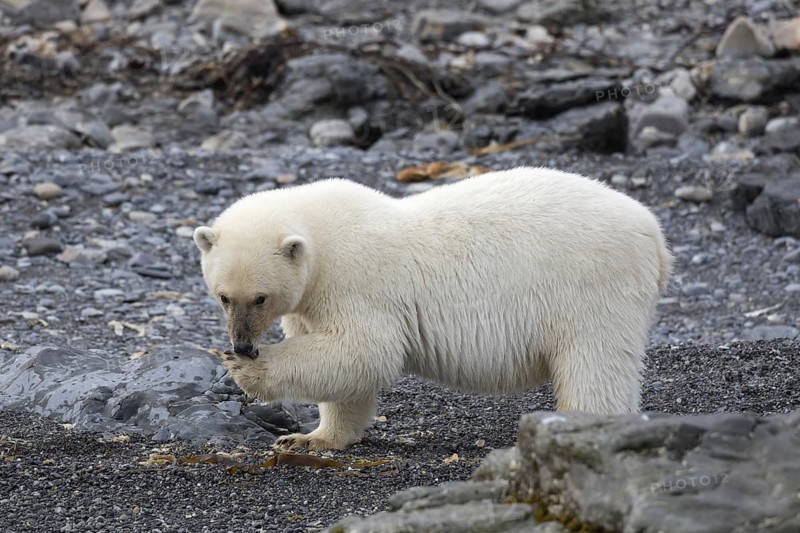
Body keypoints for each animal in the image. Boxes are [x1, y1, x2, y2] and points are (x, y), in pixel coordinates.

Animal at [193, 167, 672, 451]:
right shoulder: (310, 298)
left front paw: (247, 370)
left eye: (259, 297)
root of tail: (653, 230)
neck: (322, 237)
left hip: (591, 285)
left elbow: (364, 351)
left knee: (595, 362)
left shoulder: (355, 280)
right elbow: (343, 368)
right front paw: (311, 438)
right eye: (223, 295)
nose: (243, 343)